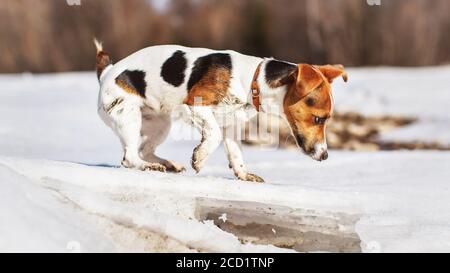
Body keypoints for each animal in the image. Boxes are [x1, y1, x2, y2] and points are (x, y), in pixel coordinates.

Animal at [94, 39, 348, 181]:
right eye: (319, 119)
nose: (325, 156)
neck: (253, 81)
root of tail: (106, 72)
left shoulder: (231, 126)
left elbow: (236, 155)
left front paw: (244, 175)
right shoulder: (195, 105)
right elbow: (213, 135)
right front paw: (200, 157)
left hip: (160, 124)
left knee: (144, 150)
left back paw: (167, 164)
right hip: (128, 117)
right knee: (130, 157)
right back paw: (150, 166)